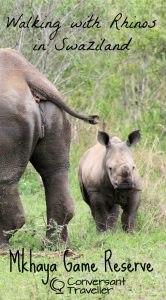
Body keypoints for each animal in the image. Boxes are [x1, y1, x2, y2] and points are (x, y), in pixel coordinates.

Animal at [0, 48, 98, 247]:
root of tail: (29, 76)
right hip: (53, 111)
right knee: (55, 171)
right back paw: (55, 245)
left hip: (9, 116)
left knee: (5, 178)